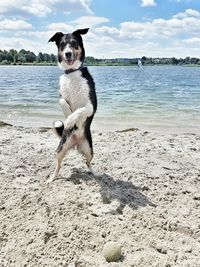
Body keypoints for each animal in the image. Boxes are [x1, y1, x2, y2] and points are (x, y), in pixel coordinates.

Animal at [47, 28, 97, 184]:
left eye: (74, 43)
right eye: (62, 45)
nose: (68, 53)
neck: (72, 73)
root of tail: (75, 142)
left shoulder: (91, 105)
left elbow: (80, 109)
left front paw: (70, 120)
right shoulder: (61, 96)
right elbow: (63, 102)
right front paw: (68, 115)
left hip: (89, 150)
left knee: (88, 163)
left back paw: (96, 173)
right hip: (60, 150)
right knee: (58, 165)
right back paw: (51, 178)